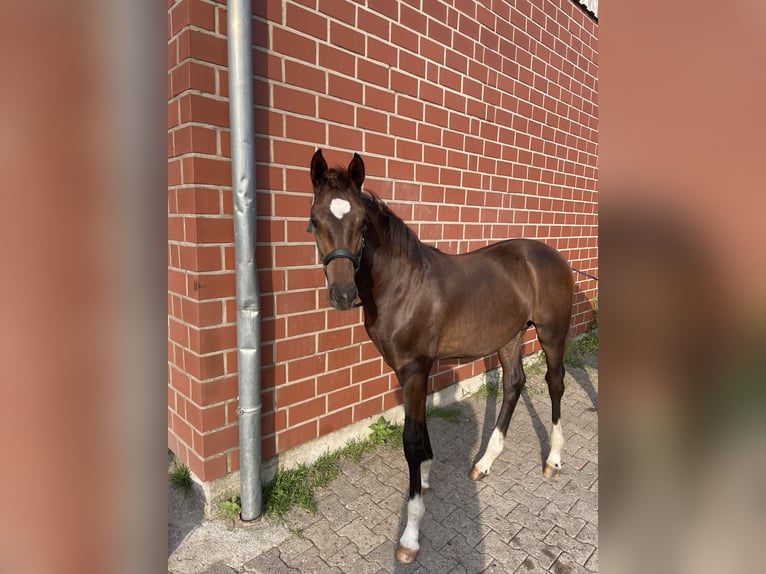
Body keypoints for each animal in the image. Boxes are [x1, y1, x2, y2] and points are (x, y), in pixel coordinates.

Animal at [308, 150, 572, 568]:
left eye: (362, 222)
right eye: (315, 220)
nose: (343, 294)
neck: (402, 284)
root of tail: (551, 255)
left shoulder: (415, 368)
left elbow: (412, 439)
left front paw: (411, 534)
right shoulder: (410, 370)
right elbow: (420, 428)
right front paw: (428, 475)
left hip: (552, 334)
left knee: (555, 383)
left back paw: (554, 459)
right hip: (509, 336)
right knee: (514, 383)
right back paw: (484, 462)